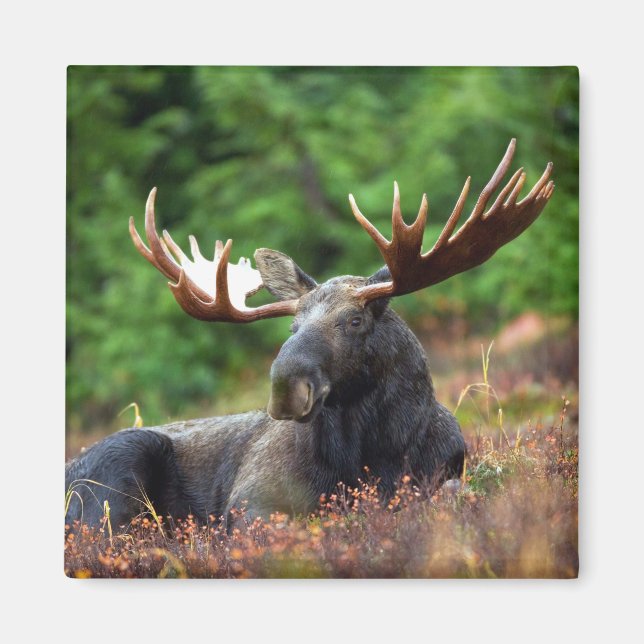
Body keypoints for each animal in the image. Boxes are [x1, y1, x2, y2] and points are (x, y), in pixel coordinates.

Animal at [65, 139, 554, 530]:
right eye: (292, 326)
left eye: (355, 320)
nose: (286, 388)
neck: (374, 456)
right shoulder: (251, 500)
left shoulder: (445, 474)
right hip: (115, 473)